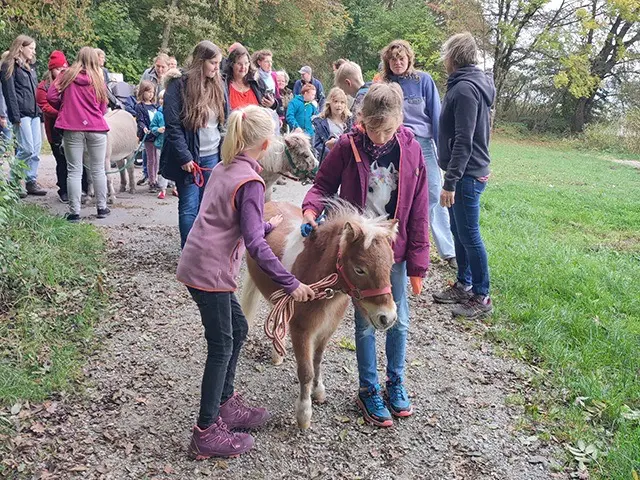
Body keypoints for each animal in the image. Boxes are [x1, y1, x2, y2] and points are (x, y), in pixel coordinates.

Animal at [242, 199, 398, 428]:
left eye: (391, 265)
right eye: (360, 269)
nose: (387, 317)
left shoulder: (326, 330)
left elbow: (317, 361)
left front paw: (318, 391)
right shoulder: (301, 331)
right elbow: (306, 371)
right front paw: (304, 414)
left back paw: (277, 354)